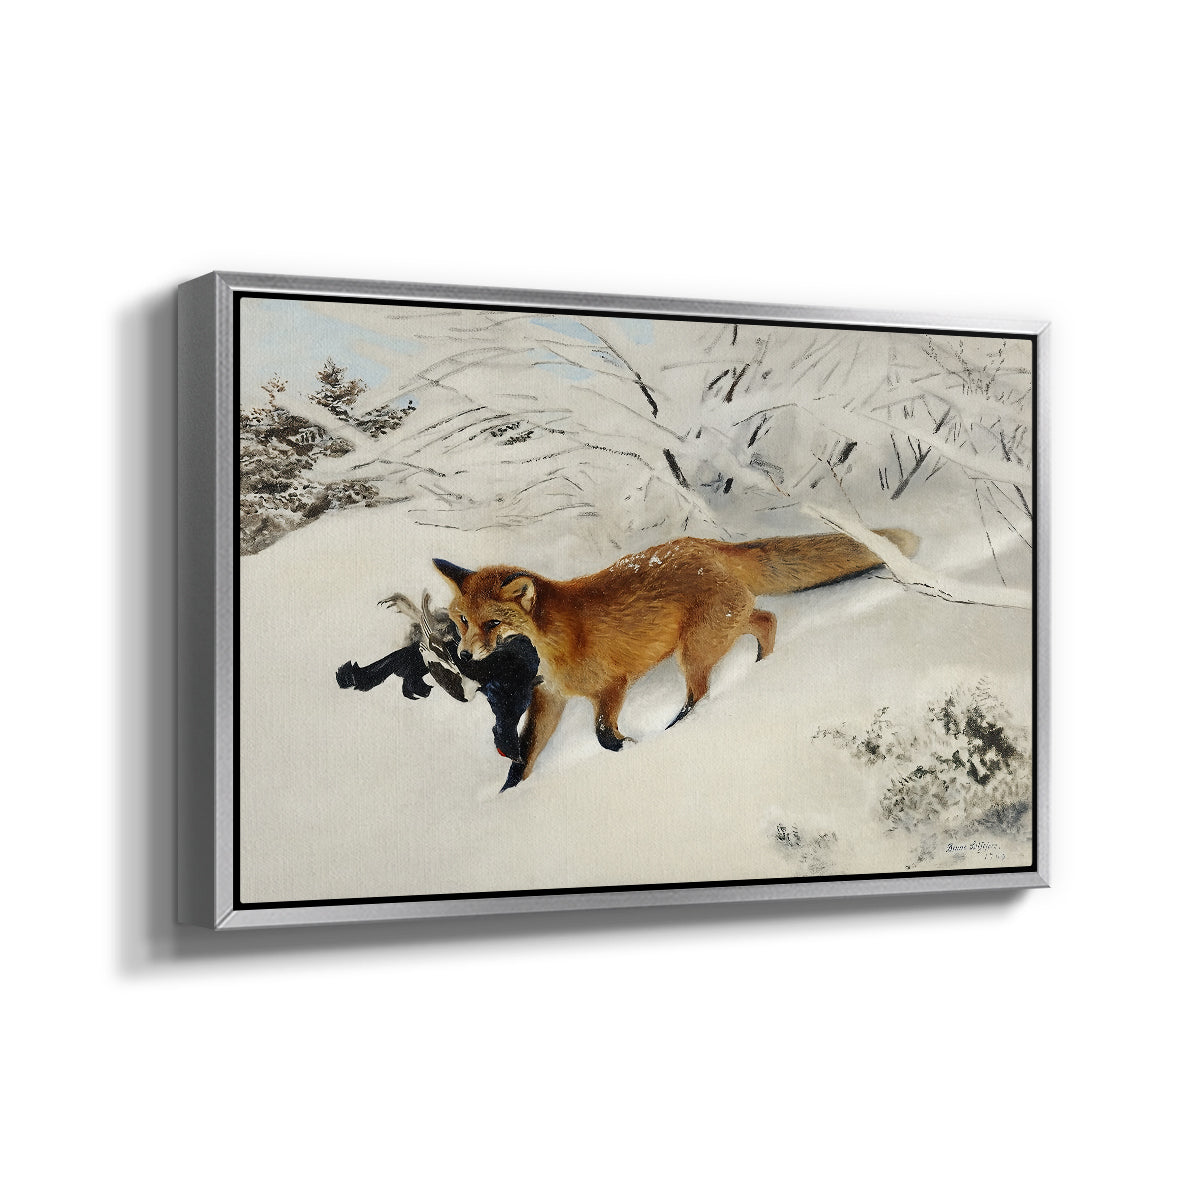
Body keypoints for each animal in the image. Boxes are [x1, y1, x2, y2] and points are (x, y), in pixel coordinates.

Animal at [434, 527, 919, 790]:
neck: (554, 644)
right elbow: (524, 756)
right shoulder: (550, 697)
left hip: (696, 650)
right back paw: (762, 665)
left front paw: (632, 747)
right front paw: (507, 796)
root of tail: (707, 544)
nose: (463, 654)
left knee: (704, 688)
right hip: (719, 632)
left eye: (492, 624)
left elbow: (603, 736)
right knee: (766, 619)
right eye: (462, 619)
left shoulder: (613, 685)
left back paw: (680, 727)